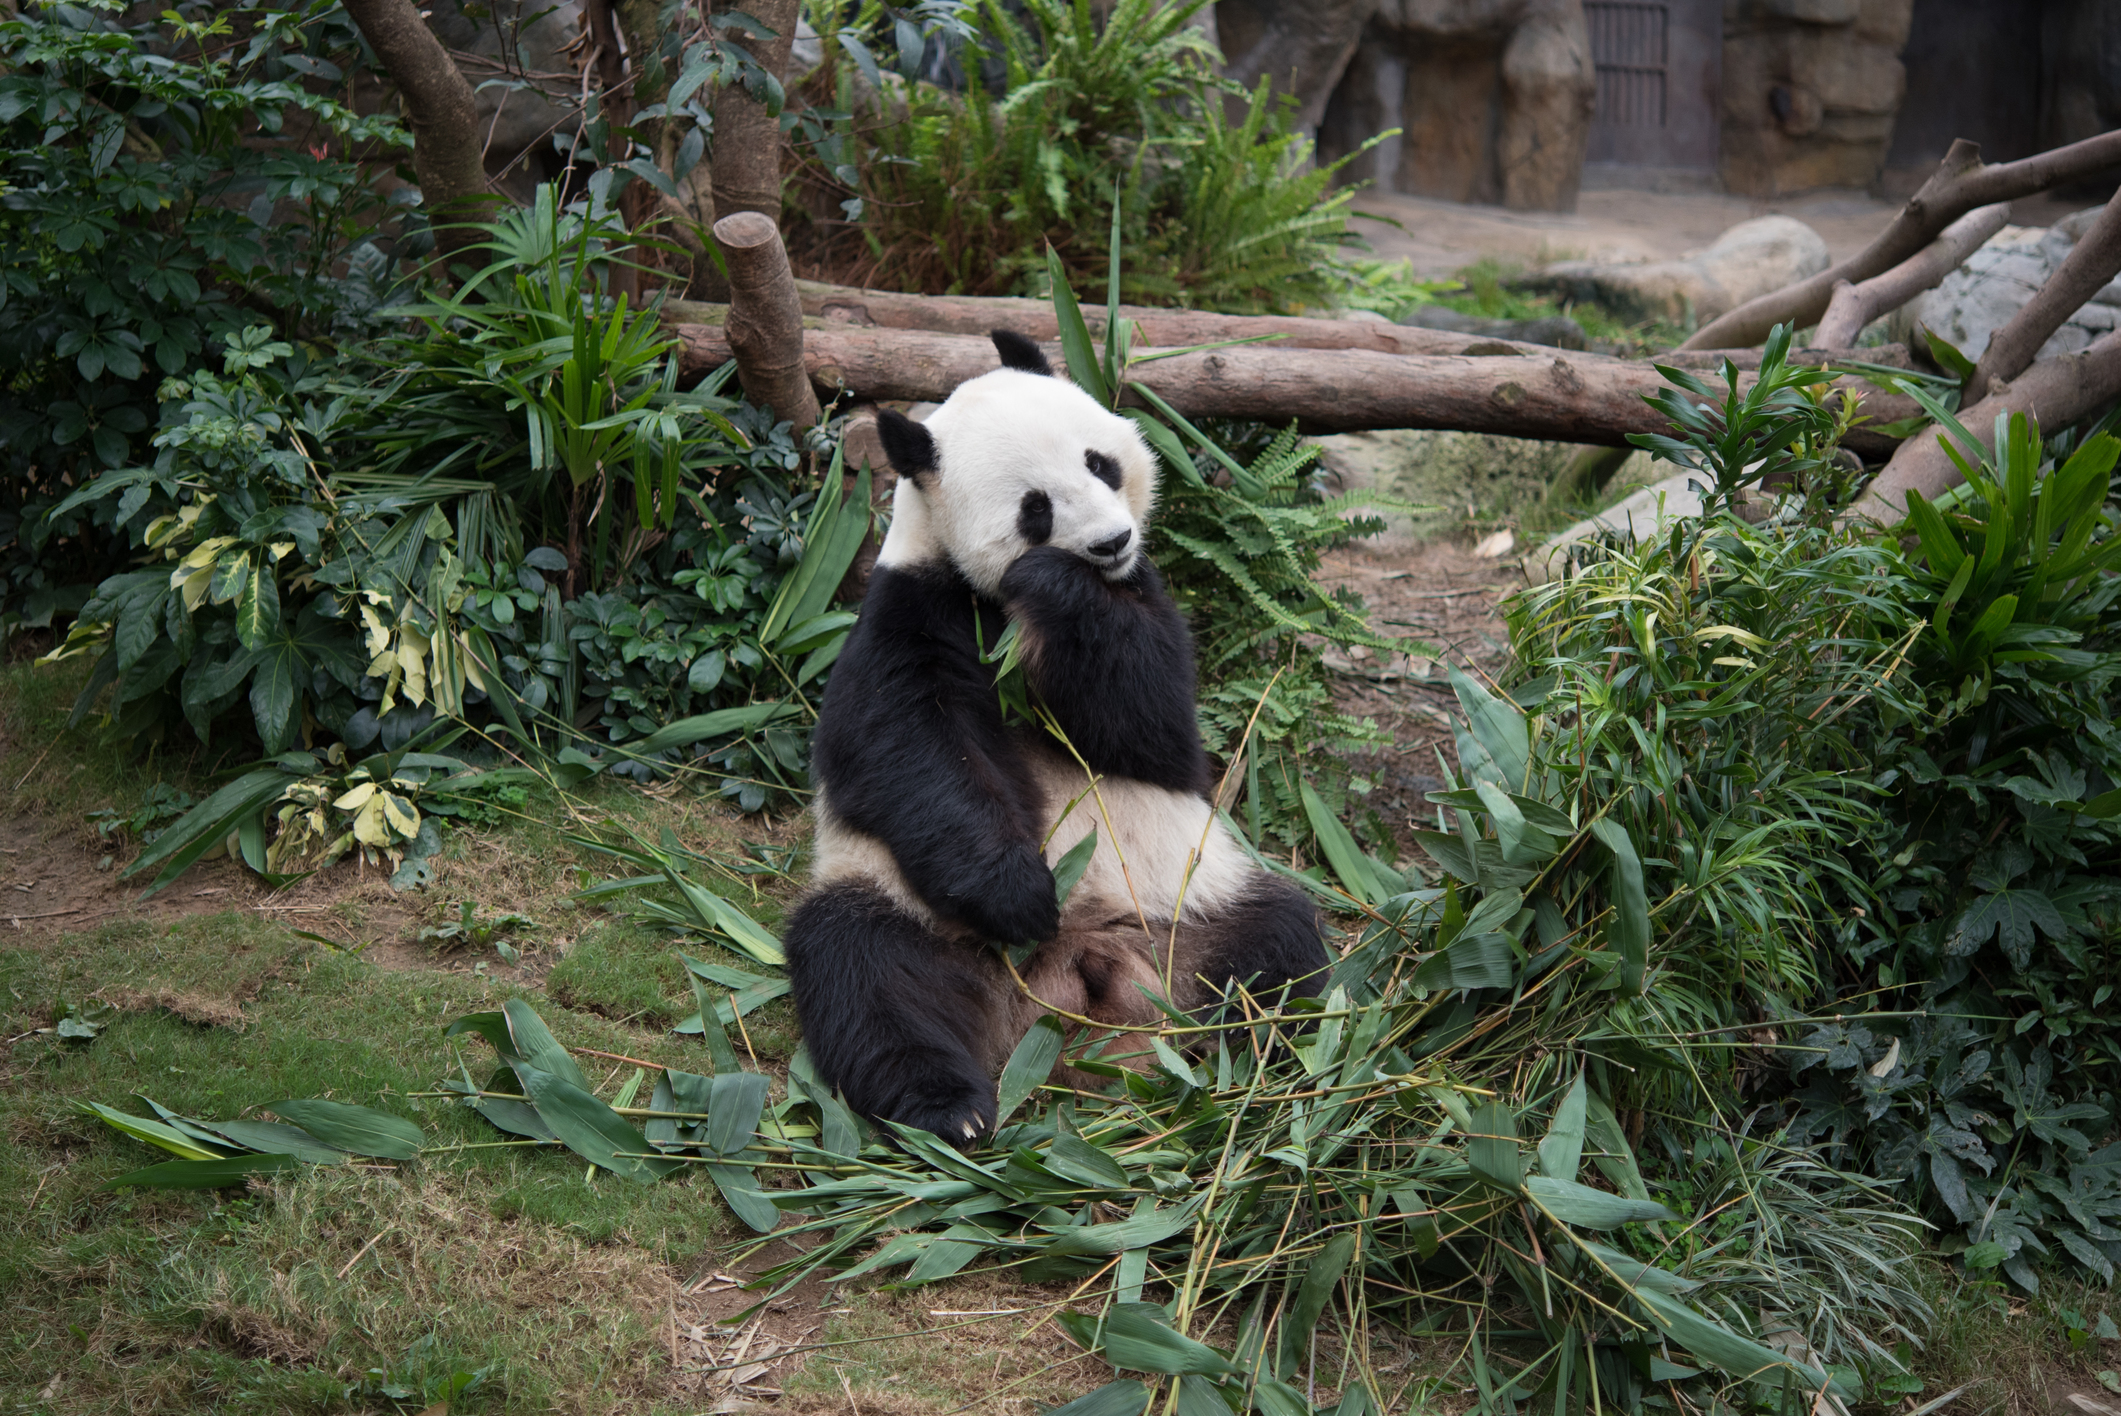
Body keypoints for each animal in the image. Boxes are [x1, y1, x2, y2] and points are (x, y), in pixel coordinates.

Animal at [789, 334, 1323, 1153]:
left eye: (1099, 463)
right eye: (1033, 508)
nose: (1112, 541)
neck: (997, 603)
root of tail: (1066, 993)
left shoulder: (1141, 599)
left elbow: (1153, 725)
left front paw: (1059, 589)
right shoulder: (909, 612)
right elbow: (909, 749)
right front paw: (1020, 894)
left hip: (1192, 899)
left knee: (1278, 944)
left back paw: (1244, 1055)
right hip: (902, 905)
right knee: (867, 976)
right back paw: (950, 1109)